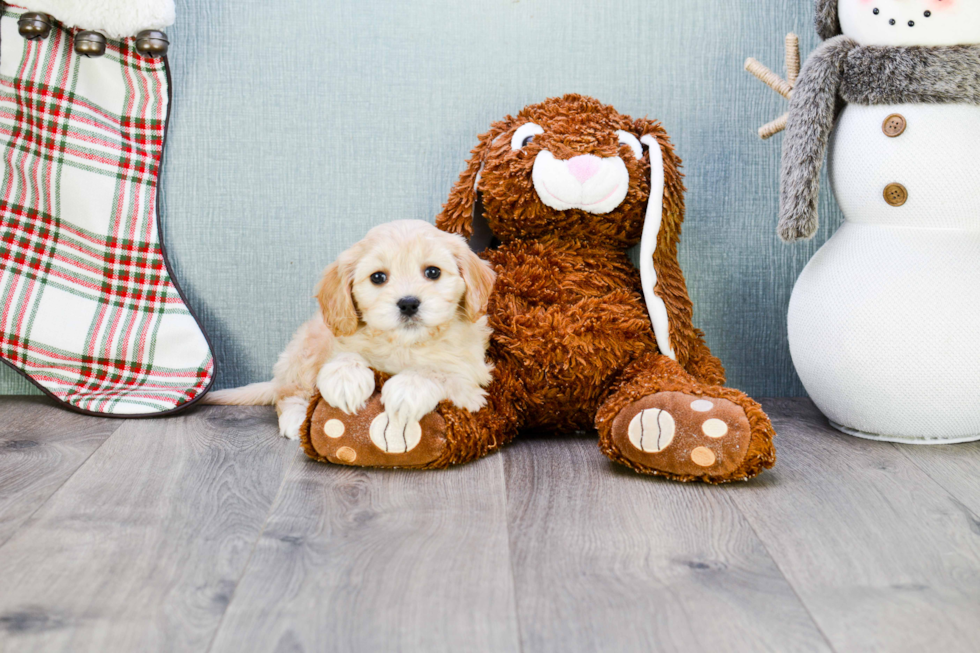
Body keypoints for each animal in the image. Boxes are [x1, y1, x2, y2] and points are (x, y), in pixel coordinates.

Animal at [208, 222, 498, 440]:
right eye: (378, 277)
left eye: (433, 272)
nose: (408, 303)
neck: (404, 344)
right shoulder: (337, 341)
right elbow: (345, 357)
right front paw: (346, 381)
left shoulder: (473, 376)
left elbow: (438, 371)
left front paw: (407, 389)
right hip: (305, 350)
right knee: (289, 393)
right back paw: (296, 420)